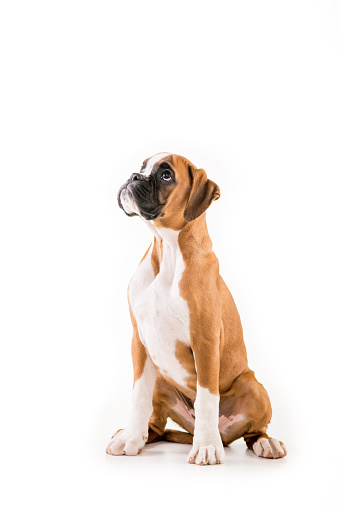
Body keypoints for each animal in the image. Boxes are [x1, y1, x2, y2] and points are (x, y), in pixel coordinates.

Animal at [107, 151, 288, 464]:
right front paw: (130, 439)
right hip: (161, 380)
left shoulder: (204, 341)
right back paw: (138, 436)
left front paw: (205, 446)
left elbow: (206, 397)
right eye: (142, 166)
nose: (133, 177)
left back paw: (265, 443)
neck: (167, 249)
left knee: (254, 432)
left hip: (253, 386)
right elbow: (138, 397)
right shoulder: (139, 342)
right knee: (156, 424)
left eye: (166, 175)